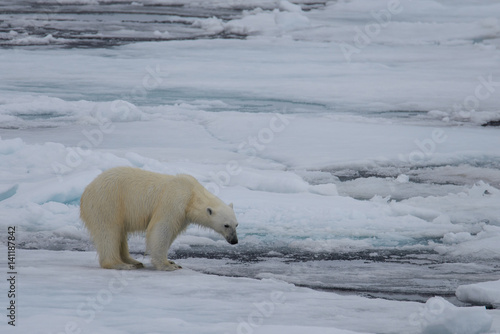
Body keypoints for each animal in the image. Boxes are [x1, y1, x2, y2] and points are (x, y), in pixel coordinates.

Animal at [80, 166, 240, 270]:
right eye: (226, 225)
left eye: (236, 225)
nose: (234, 241)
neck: (192, 194)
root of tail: (86, 191)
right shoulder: (173, 200)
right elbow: (162, 228)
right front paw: (167, 265)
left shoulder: (183, 216)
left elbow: (172, 232)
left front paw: (171, 261)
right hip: (108, 203)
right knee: (109, 232)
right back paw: (121, 264)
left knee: (120, 235)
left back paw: (134, 261)